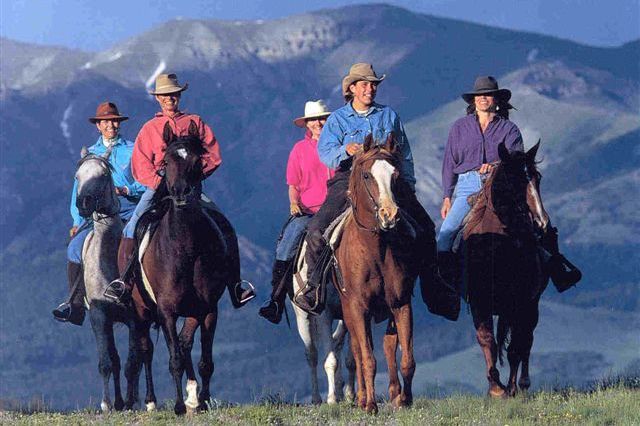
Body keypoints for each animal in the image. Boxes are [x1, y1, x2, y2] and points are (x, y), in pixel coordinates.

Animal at [74, 149, 140, 411]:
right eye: (77, 176)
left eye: (103, 174)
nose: (83, 203)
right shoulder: (99, 314)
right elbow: (107, 362)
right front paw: (107, 404)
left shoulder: (135, 317)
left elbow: (133, 363)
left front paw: (131, 402)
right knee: (115, 358)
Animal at [125, 121, 241, 415]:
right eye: (166, 160)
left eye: (198, 160)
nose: (180, 194)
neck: (185, 248)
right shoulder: (166, 311)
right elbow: (174, 358)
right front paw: (178, 405)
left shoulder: (207, 309)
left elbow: (204, 360)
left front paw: (202, 401)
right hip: (141, 311)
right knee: (146, 350)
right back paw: (151, 401)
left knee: (185, 343)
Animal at [291, 241, 355, 404]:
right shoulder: (324, 315)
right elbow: (330, 360)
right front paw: (331, 399)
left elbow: (352, 359)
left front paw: (351, 395)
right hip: (302, 316)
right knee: (312, 355)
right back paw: (317, 398)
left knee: (336, 341)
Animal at [334, 134, 422, 414]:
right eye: (366, 175)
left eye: (396, 175)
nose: (389, 215)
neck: (375, 250)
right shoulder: (357, 308)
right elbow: (367, 358)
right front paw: (370, 404)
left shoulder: (401, 303)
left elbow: (406, 358)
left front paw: (405, 400)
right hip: (348, 311)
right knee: (357, 351)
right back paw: (362, 398)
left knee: (387, 346)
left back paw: (394, 394)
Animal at [462, 141, 549, 398]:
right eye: (512, 179)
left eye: (537, 178)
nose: (541, 222)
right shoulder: (479, 302)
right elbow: (487, 340)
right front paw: (495, 388)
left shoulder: (521, 302)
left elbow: (516, 347)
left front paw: (510, 387)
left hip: (530, 306)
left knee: (526, 340)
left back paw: (523, 383)